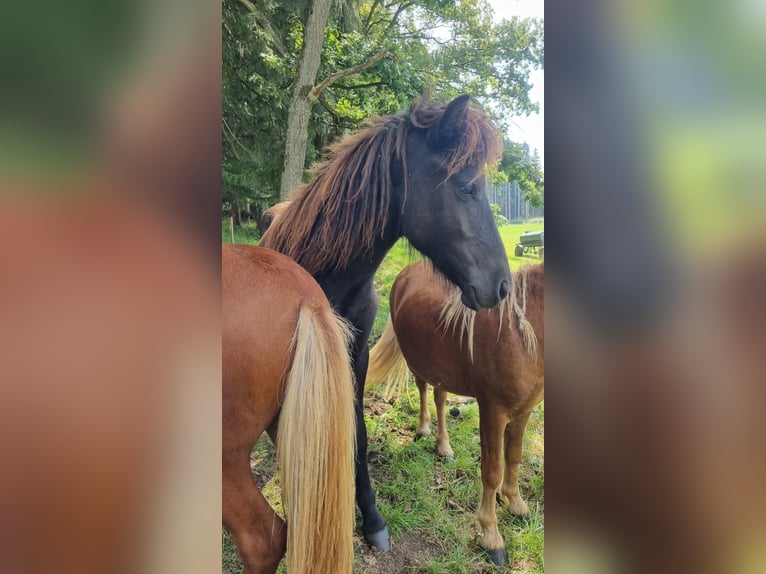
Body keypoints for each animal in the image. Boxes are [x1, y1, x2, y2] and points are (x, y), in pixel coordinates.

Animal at [260, 95, 512, 552]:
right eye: (466, 186)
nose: (502, 286)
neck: (332, 277)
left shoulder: (356, 355)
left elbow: (356, 431)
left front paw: (371, 517)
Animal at [368, 262, 544, 568]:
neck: (521, 332)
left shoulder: (524, 410)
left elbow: (514, 457)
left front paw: (517, 505)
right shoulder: (493, 411)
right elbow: (492, 471)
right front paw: (492, 537)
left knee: (440, 398)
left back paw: (444, 447)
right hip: (419, 362)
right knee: (423, 389)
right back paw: (423, 430)